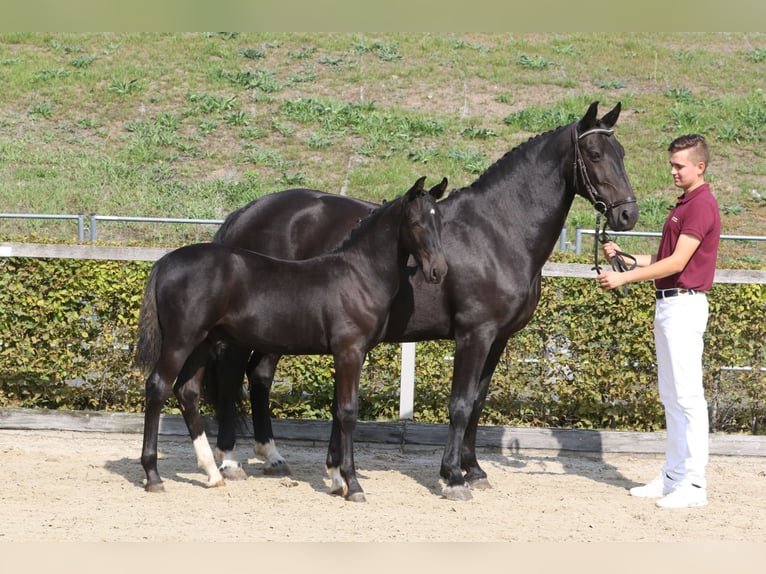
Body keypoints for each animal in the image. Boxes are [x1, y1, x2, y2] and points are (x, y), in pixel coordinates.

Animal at [136, 174, 450, 500]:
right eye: (415, 222)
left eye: (439, 221)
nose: (438, 271)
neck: (358, 274)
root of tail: (164, 262)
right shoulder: (349, 351)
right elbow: (348, 412)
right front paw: (352, 484)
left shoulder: (352, 354)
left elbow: (337, 410)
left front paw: (337, 480)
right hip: (181, 341)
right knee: (158, 387)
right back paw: (154, 475)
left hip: (203, 342)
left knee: (188, 392)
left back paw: (213, 473)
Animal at [210, 101, 640, 502]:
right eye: (595, 154)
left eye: (621, 153)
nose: (627, 214)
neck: (497, 231)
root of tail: (243, 214)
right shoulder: (474, 334)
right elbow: (460, 404)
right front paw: (453, 477)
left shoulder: (498, 339)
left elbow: (477, 403)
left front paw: (474, 470)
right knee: (231, 379)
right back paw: (230, 461)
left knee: (259, 377)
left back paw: (271, 456)